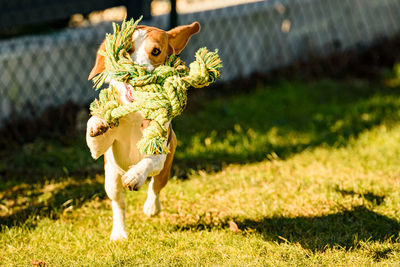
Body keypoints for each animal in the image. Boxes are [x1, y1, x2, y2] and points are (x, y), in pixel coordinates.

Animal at [86, 22, 200, 242]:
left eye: (155, 51)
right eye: (126, 49)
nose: (136, 68)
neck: (134, 113)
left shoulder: (160, 150)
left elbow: (149, 160)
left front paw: (135, 176)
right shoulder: (100, 150)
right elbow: (94, 135)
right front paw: (97, 122)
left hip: (165, 170)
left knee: (155, 187)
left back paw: (151, 207)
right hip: (111, 180)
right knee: (118, 203)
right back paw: (119, 233)